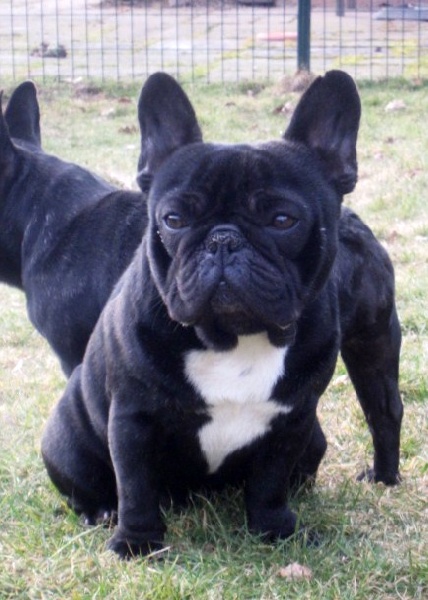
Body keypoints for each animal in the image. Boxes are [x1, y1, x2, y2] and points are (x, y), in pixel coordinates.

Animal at [41, 71, 403, 559]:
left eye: (283, 220)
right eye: (173, 219)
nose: (223, 240)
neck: (234, 337)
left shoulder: (291, 420)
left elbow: (270, 482)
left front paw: (274, 530)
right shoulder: (133, 418)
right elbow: (135, 486)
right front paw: (137, 544)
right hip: (65, 438)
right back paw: (100, 513)